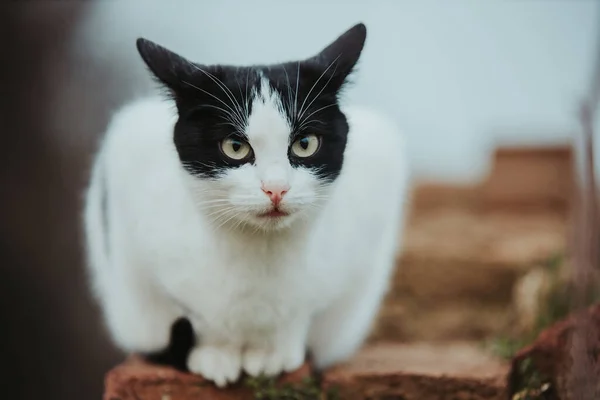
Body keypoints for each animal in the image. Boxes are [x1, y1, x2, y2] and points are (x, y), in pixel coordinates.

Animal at [83, 23, 408, 386]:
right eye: (235, 147)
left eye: (305, 143)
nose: (276, 188)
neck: (260, 255)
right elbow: (193, 315)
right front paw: (215, 354)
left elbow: (303, 312)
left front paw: (274, 354)